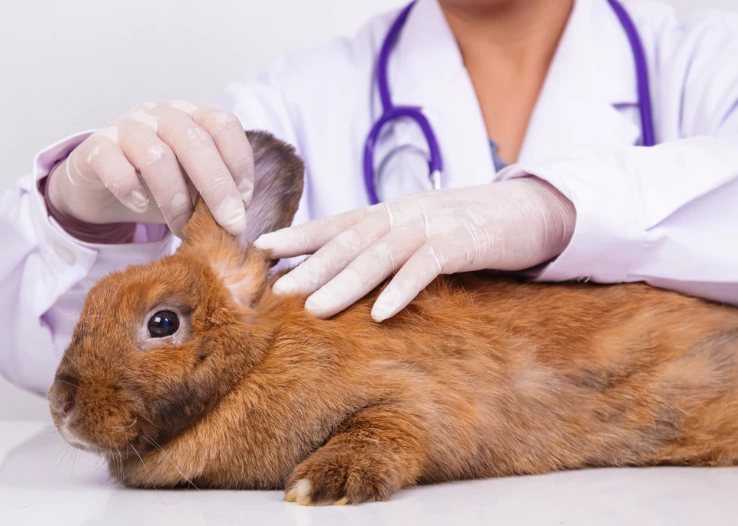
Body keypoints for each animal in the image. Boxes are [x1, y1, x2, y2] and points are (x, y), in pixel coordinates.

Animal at [47, 130, 738, 506]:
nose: (61, 407)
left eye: (162, 324)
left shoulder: (415, 397)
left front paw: (323, 487)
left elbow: (389, 429)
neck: (257, 359)